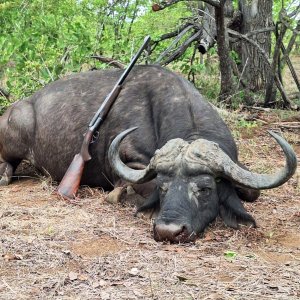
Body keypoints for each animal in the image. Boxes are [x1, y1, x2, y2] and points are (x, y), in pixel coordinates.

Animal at [0, 65, 296, 241]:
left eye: (205, 189)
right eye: (163, 187)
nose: (169, 231)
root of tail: (16, 107)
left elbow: (252, 191)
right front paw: (122, 195)